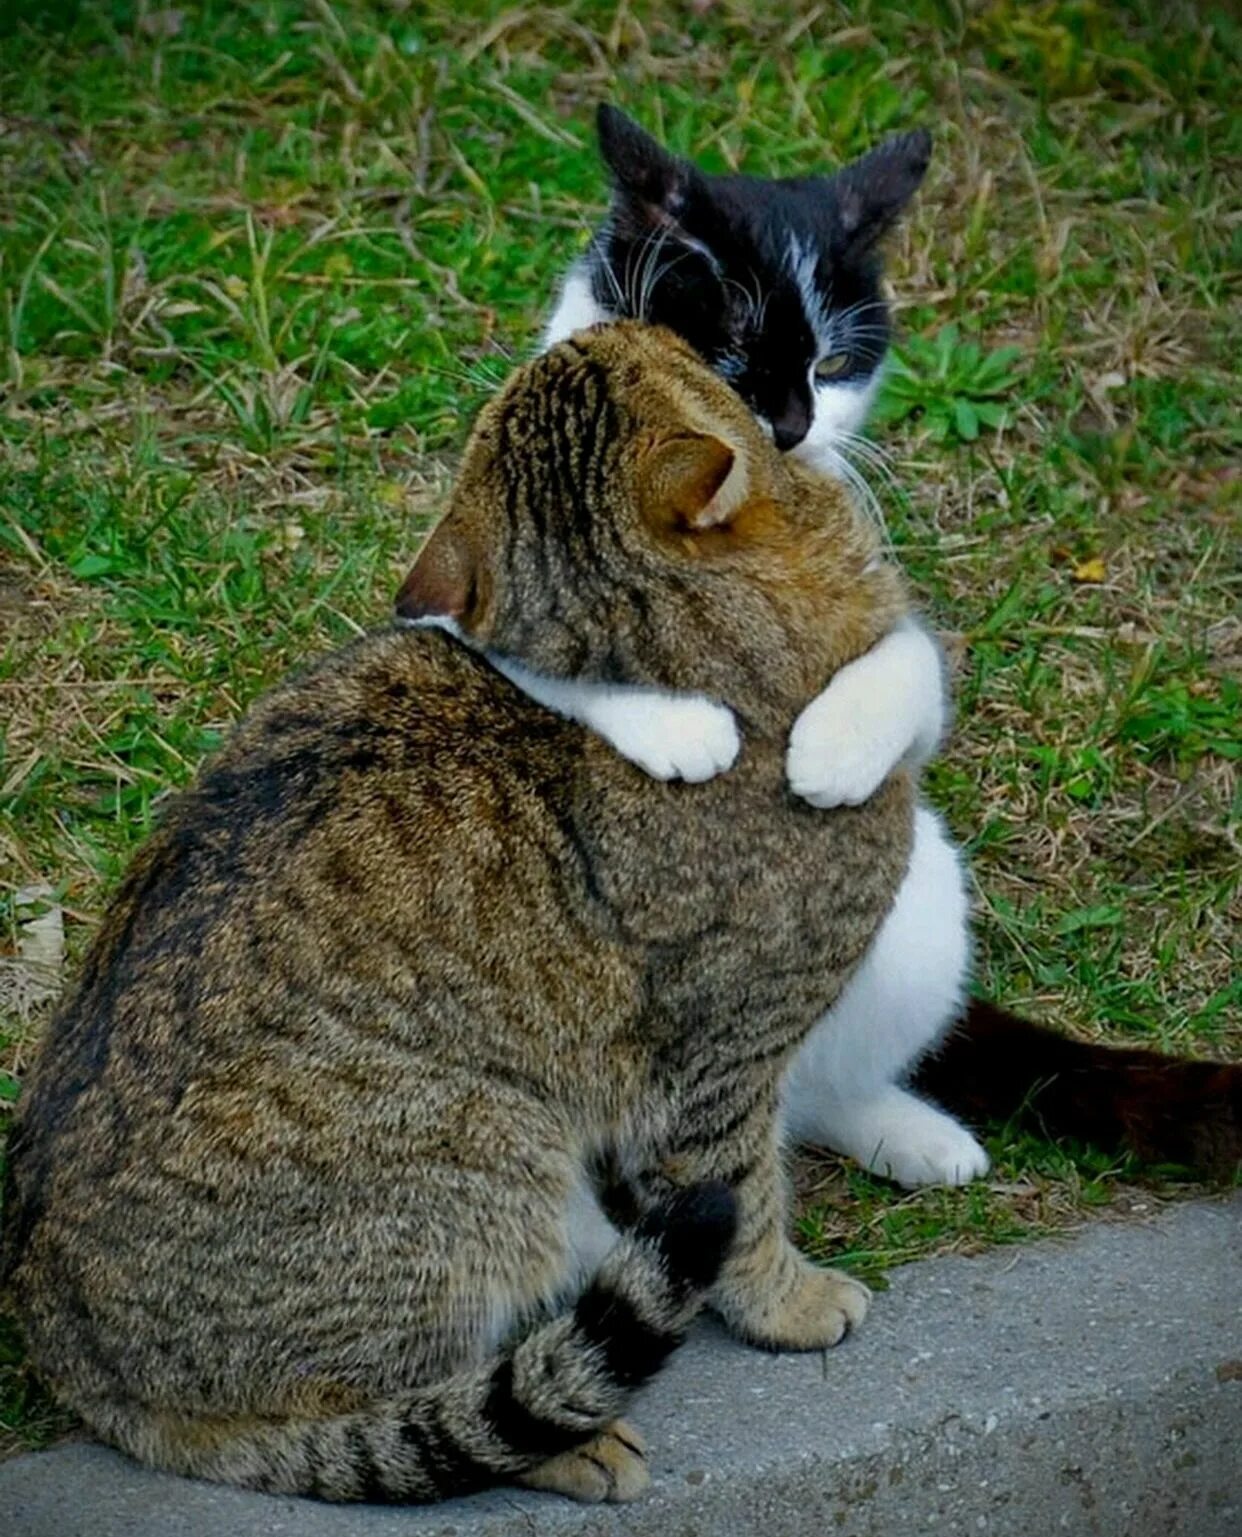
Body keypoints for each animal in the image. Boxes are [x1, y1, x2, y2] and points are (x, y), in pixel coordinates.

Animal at [2, 324, 909, 1500]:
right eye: (679, 355)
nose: (628, 316)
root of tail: (60, 1339)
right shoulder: (725, 1056)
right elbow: (744, 1197)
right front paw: (789, 1301)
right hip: (494, 1148)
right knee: (393, 1413)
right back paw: (570, 1436)